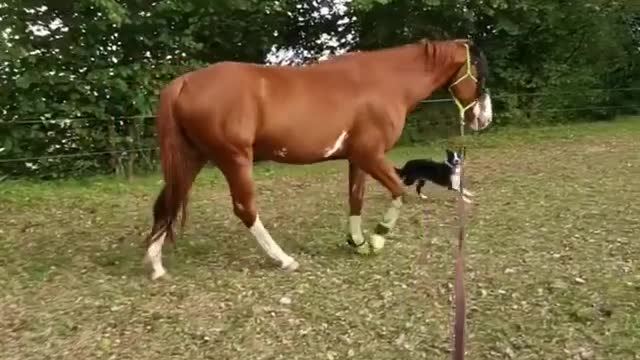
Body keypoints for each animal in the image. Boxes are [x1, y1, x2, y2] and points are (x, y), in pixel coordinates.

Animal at [144, 38, 490, 278]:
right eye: (480, 72)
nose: (484, 119)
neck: (385, 81)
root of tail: (184, 82)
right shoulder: (371, 154)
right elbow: (398, 193)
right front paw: (377, 239)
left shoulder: (357, 158)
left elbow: (355, 199)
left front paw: (358, 242)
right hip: (234, 159)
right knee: (245, 209)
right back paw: (284, 260)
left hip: (192, 158)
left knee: (168, 202)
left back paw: (157, 265)